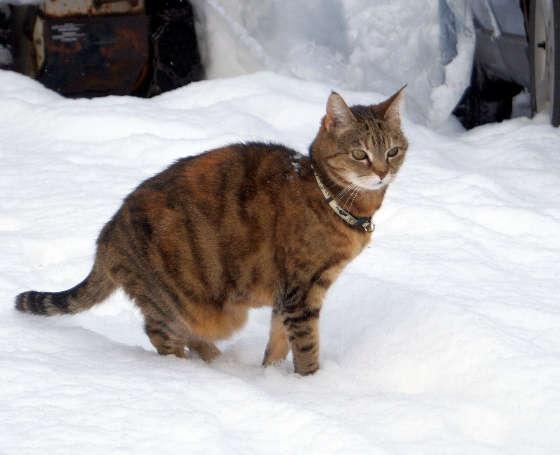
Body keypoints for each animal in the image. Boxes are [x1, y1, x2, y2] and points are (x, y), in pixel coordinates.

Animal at [14, 88, 406, 374]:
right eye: (359, 154)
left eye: (393, 151)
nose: (382, 172)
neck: (331, 197)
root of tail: (107, 235)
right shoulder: (302, 290)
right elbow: (306, 346)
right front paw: (310, 385)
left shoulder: (288, 295)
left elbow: (277, 341)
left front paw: (270, 376)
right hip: (182, 301)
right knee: (161, 333)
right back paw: (195, 370)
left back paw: (217, 361)